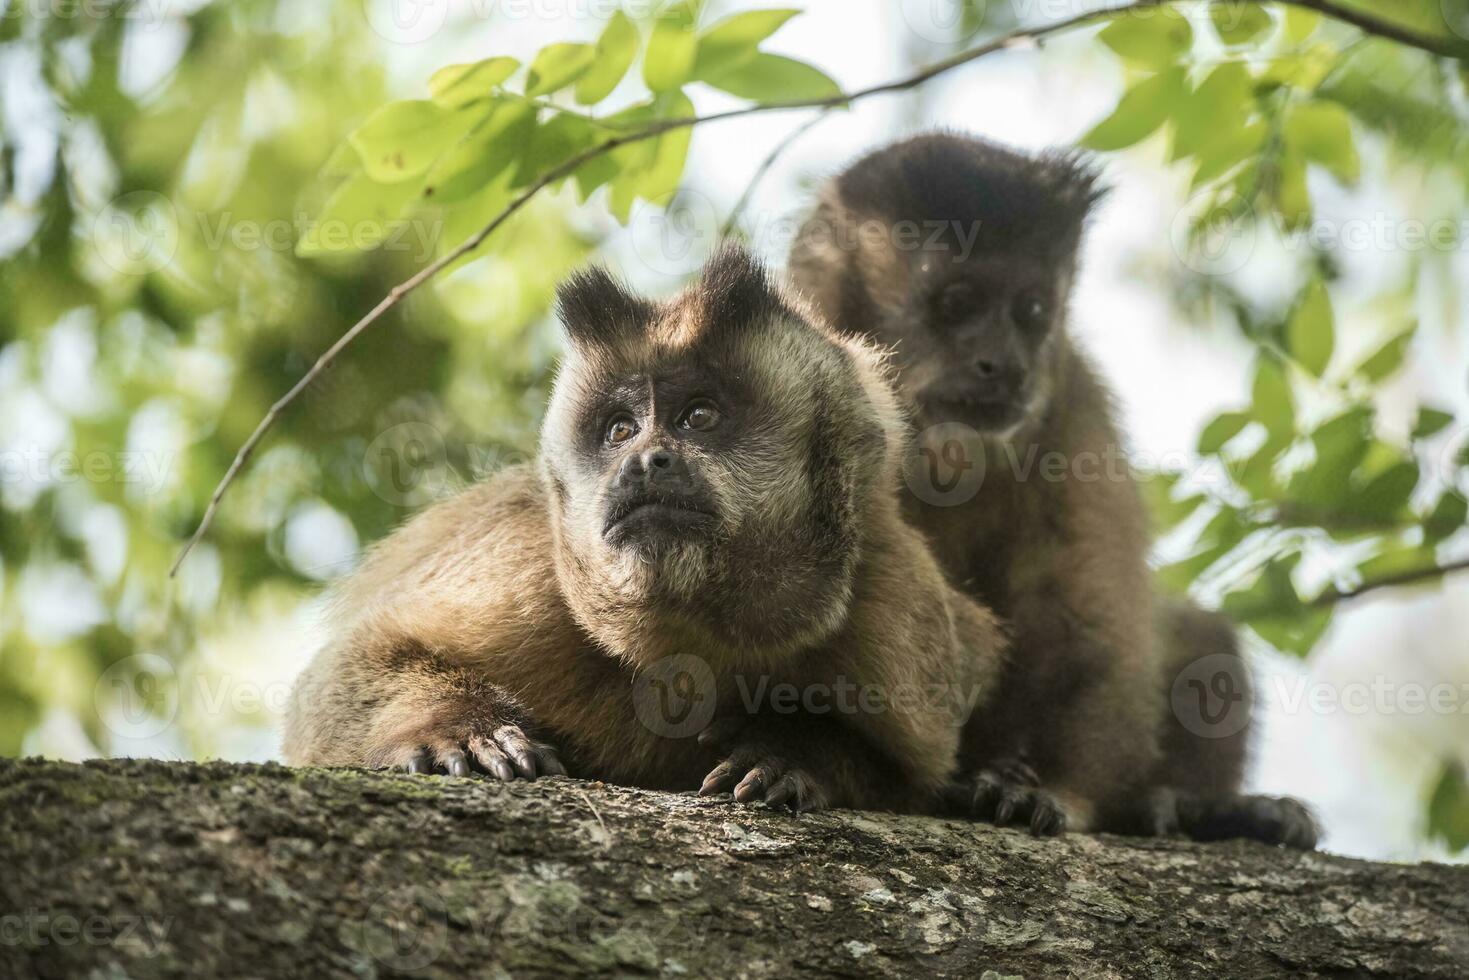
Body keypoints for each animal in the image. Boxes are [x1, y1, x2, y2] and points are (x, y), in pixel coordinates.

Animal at [280, 243, 1004, 811]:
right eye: (621, 429)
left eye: (698, 416)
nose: (643, 461)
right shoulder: (530, 564)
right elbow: (343, 677)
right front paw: (457, 728)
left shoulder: (895, 602)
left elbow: (916, 776)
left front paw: (797, 752)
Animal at [793, 132, 1322, 852]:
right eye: (956, 304)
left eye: (1031, 312)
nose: (1004, 364)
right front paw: (803, 760)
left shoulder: (1074, 406)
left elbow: (1084, 624)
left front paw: (1047, 789)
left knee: (1195, 635)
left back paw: (1201, 810)